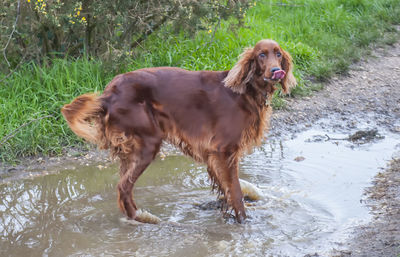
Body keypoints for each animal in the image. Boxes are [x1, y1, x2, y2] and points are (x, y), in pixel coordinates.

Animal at [61, 39, 296, 221]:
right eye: (261, 55)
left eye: (278, 54)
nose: (276, 71)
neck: (245, 91)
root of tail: (108, 95)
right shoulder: (224, 151)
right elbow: (236, 193)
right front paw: (243, 221)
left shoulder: (214, 156)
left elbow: (226, 191)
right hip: (148, 143)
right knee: (123, 188)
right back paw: (143, 218)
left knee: (122, 187)